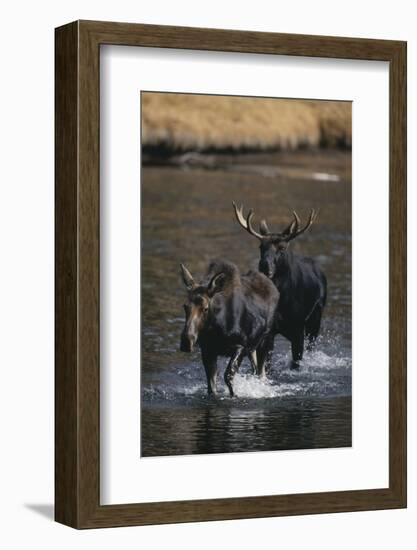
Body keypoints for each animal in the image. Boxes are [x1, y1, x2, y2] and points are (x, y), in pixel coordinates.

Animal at [177, 260, 278, 398]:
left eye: (205, 308)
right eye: (185, 306)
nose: (187, 341)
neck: (215, 329)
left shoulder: (240, 346)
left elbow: (228, 376)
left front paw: (234, 395)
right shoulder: (208, 350)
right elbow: (211, 386)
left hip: (266, 341)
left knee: (261, 373)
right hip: (253, 348)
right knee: (255, 368)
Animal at [232, 203, 326, 370]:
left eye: (282, 247)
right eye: (261, 246)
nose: (264, 265)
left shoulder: (298, 328)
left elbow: (296, 362)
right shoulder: (269, 331)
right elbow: (265, 365)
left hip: (315, 319)